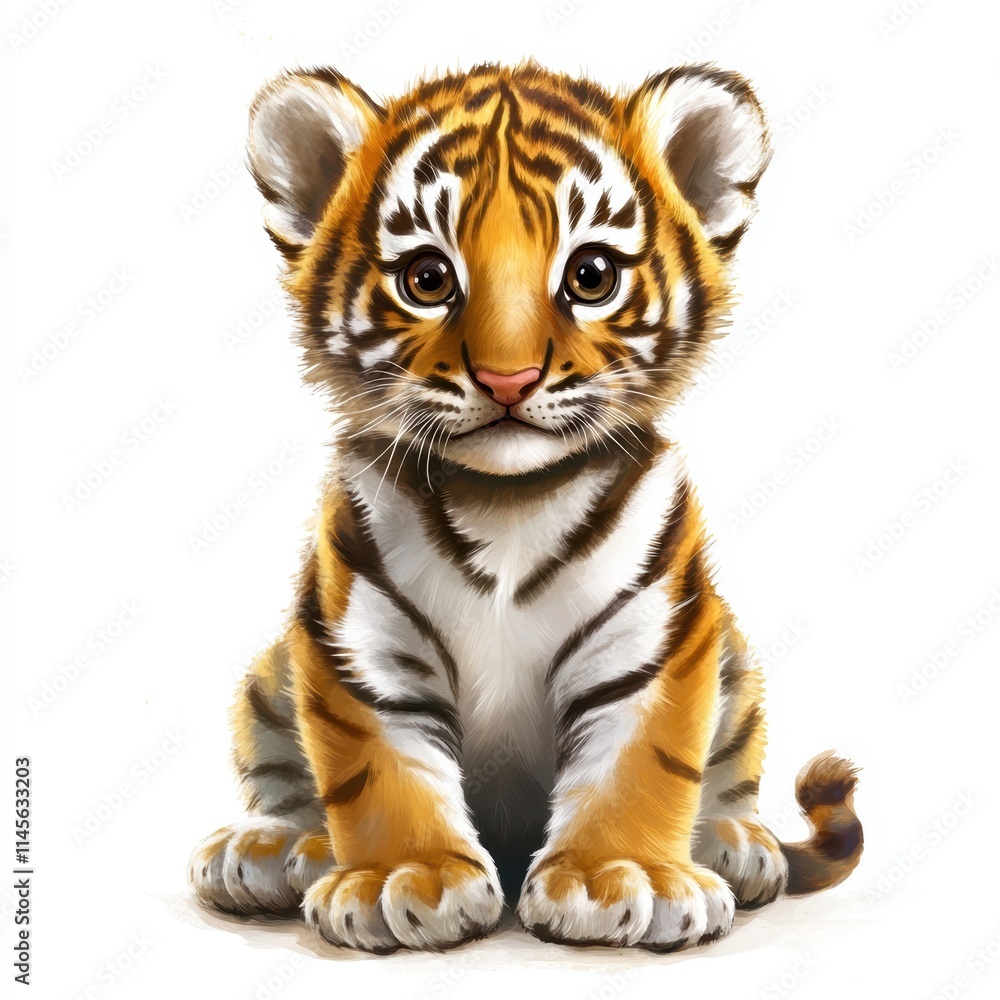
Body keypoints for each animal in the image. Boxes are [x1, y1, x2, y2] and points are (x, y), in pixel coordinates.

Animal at [188, 61, 863, 954]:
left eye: (591, 276)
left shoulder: (653, 638)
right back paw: (272, 848)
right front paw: (407, 878)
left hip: (737, 668)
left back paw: (732, 842)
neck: (504, 500)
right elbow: (379, 768)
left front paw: (622, 876)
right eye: (428, 278)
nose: (507, 379)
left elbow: (642, 761)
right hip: (270, 677)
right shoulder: (359, 641)